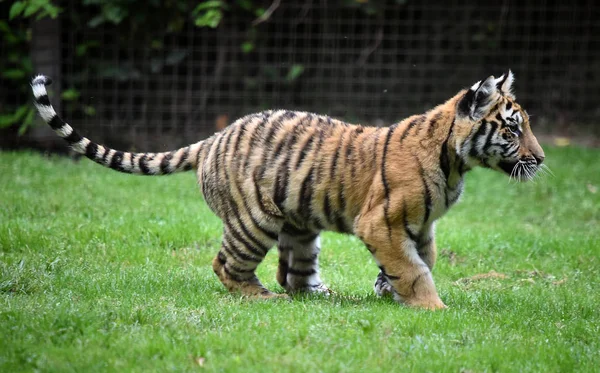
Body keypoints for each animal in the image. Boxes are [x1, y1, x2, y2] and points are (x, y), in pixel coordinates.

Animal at [34, 71, 548, 310]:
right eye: (512, 128)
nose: (542, 159)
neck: (456, 161)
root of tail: (213, 137)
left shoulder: (420, 226)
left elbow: (420, 260)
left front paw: (387, 288)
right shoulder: (382, 222)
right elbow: (415, 269)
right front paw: (431, 306)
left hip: (301, 225)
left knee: (294, 274)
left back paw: (323, 295)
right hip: (252, 221)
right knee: (227, 265)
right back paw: (260, 297)